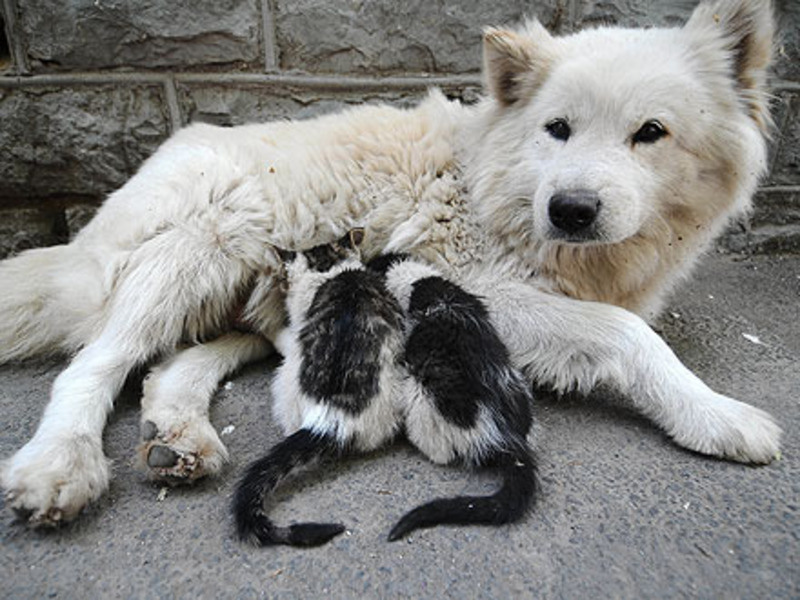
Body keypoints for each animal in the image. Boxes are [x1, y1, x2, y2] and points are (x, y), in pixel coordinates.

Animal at [0, 0, 780, 524]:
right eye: (557, 129)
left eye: (651, 133)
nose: (571, 209)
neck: (491, 178)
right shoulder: (485, 291)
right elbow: (628, 334)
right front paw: (714, 414)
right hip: (200, 249)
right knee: (94, 365)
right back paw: (59, 463)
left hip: (254, 306)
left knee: (172, 364)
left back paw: (178, 436)